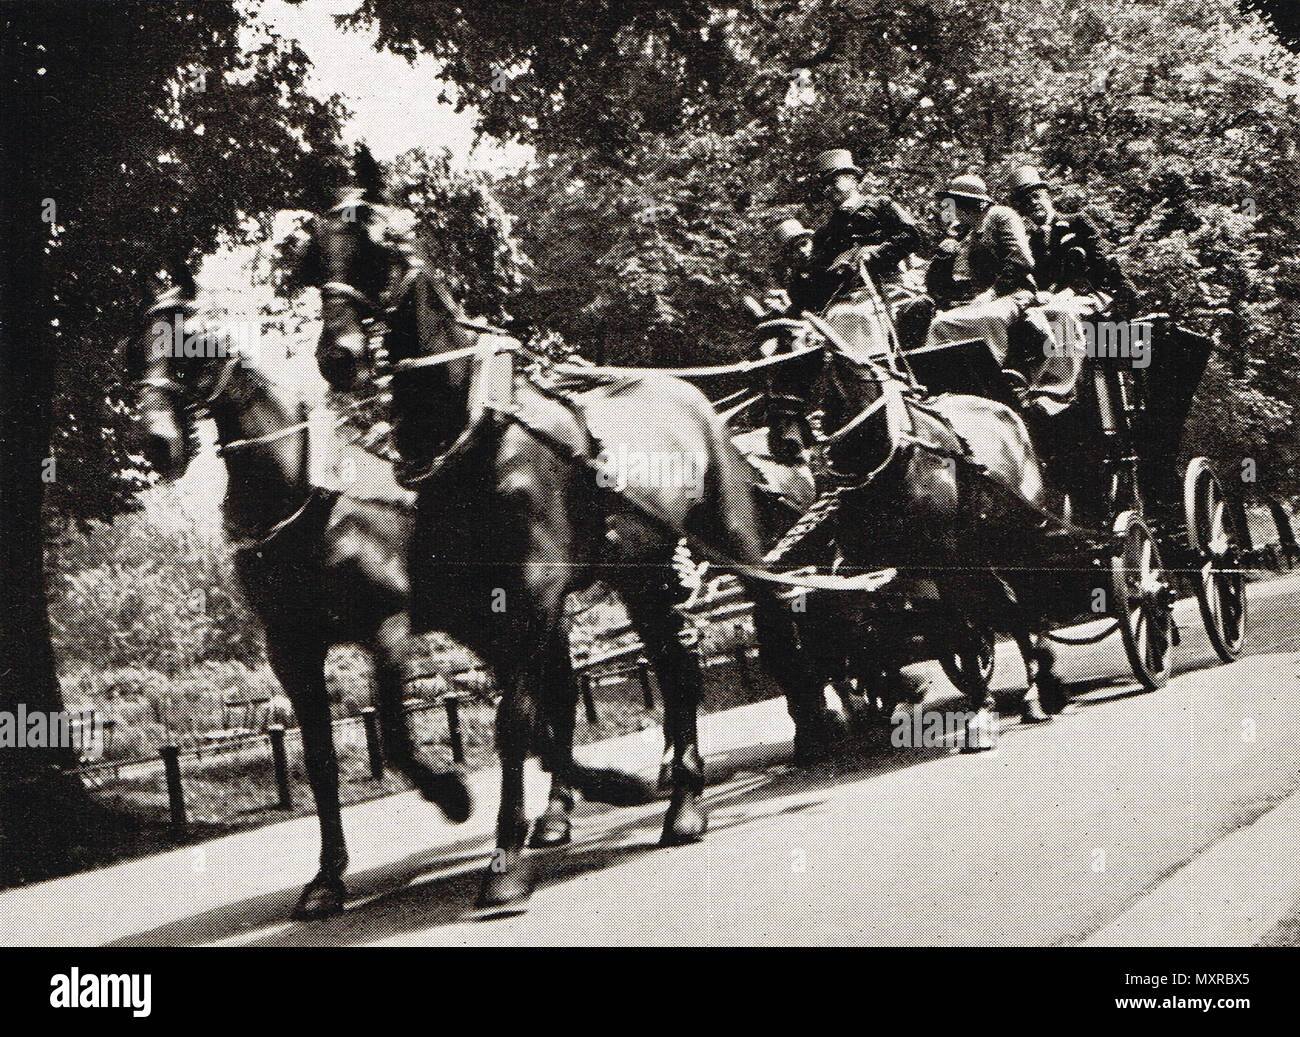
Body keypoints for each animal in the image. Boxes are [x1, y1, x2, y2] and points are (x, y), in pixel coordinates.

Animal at [304, 166, 832, 914]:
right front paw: (490, 796)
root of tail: (695, 400)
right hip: (643, 570)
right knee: (675, 663)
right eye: (312, 256)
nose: (338, 357)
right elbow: (514, 723)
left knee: (771, 617)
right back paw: (684, 801)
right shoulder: (478, 607)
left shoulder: (535, 592)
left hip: (732, 540)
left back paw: (801, 735)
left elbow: (517, 720)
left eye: (379, 247)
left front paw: (507, 858)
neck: (480, 437)